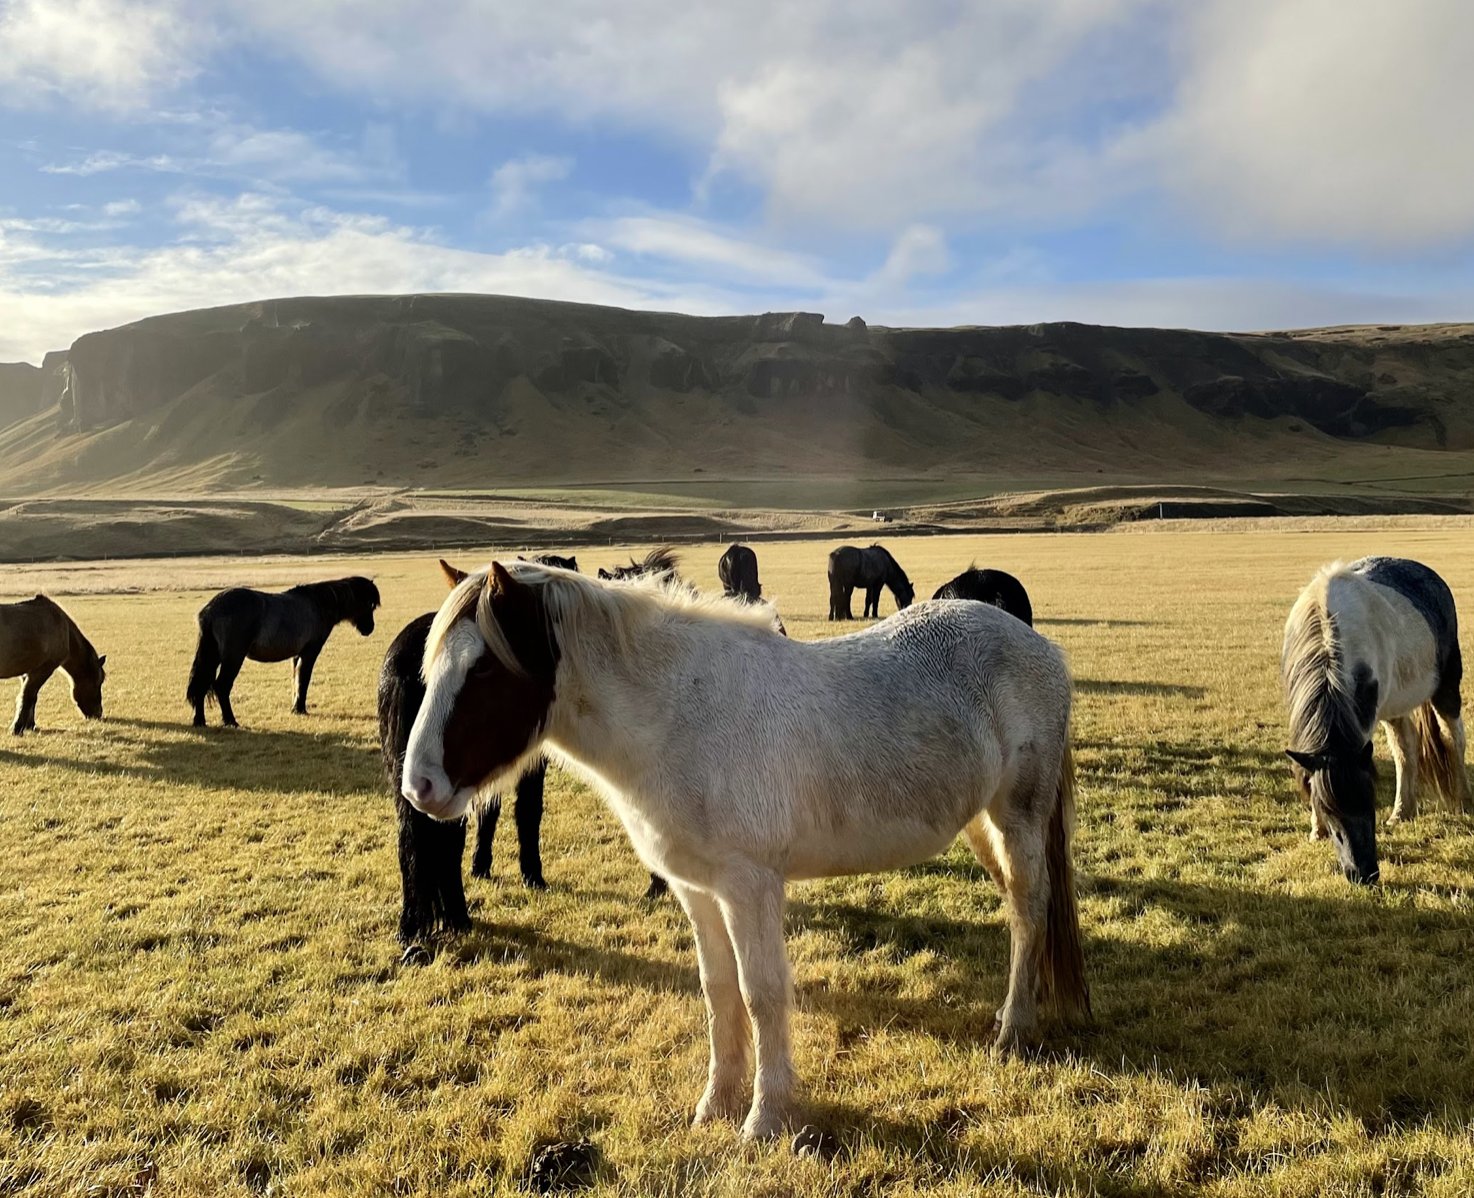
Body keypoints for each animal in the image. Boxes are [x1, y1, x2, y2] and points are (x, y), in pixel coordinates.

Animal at [0, 592, 106, 733]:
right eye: (98, 681)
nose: (98, 713)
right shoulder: (44, 669)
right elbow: (29, 696)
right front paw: (18, 727)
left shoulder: (28, 671)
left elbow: (30, 697)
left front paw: (29, 725)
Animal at [187, 574, 380, 724]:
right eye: (369, 604)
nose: (369, 628)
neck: (318, 605)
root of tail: (211, 609)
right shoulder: (309, 653)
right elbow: (304, 679)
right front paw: (300, 708)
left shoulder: (297, 655)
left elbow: (296, 679)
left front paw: (296, 707)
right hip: (233, 657)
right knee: (221, 686)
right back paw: (230, 721)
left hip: (213, 656)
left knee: (201, 685)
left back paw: (200, 721)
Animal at [397, 559, 1090, 1137]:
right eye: (432, 667)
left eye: (484, 668)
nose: (418, 787)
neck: (679, 717)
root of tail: (1038, 646)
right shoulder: (698, 890)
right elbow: (719, 990)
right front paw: (715, 1105)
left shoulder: (750, 887)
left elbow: (762, 993)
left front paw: (765, 1117)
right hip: (982, 824)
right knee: (1017, 909)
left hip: (1018, 819)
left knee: (1031, 910)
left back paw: (1013, 1031)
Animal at [1285, 557, 1468, 884]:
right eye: (1331, 813)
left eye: (1370, 804)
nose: (1364, 873)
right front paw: (1316, 831)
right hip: (1395, 705)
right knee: (1406, 749)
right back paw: (1402, 812)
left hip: (1446, 686)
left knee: (1453, 739)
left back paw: (1462, 801)